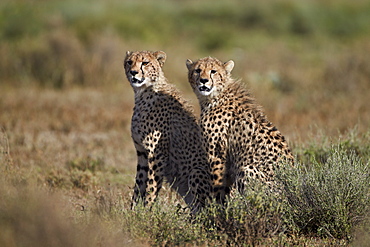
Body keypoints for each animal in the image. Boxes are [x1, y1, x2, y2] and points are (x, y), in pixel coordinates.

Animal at [124, 50, 211, 212]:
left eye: (145, 63)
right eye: (129, 62)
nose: (133, 72)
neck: (143, 93)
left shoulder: (157, 154)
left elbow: (151, 187)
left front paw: (146, 212)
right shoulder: (142, 152)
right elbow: (139, 186)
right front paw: (132, 213)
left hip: (196, 171)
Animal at [186, 56, 294, 201]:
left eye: (213, 71)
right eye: (198, 70)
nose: (204, 80)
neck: (216, 96)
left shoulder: (216, 155)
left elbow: (217, 185)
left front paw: (215, 205)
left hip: (246, 169)